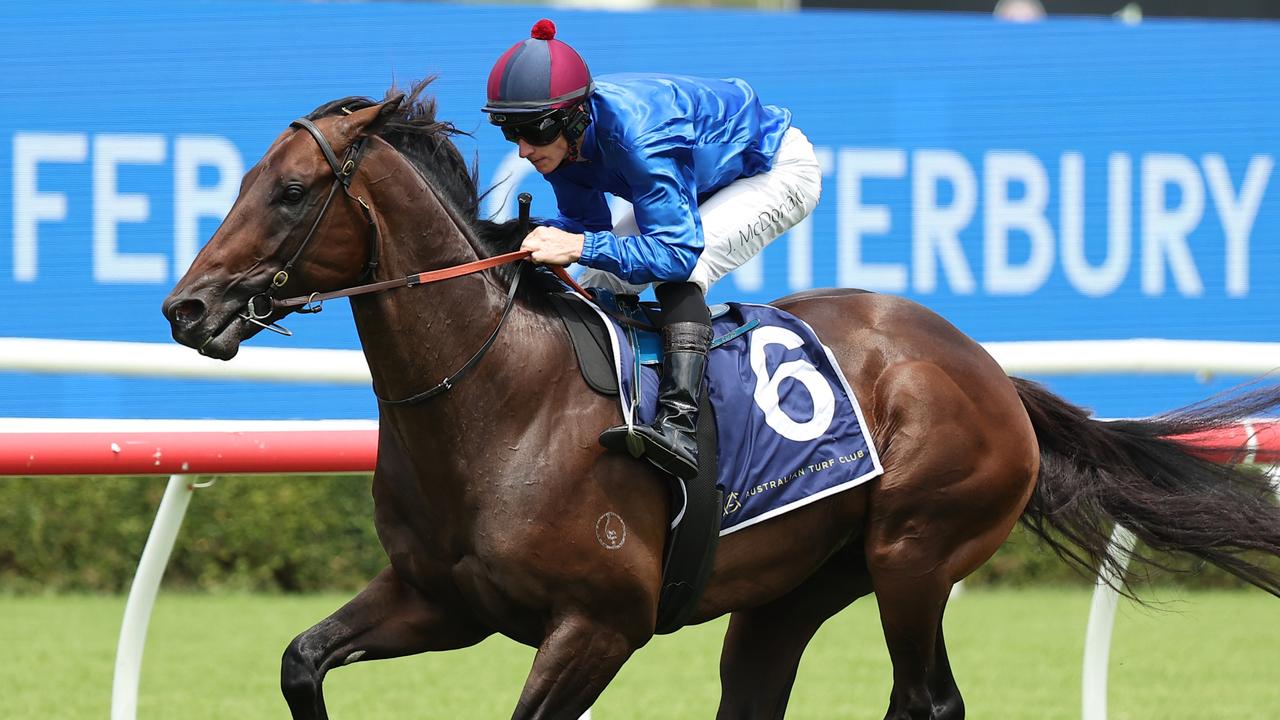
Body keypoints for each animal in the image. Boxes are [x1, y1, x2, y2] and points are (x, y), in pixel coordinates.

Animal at [162, 81, 1280, 712]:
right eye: (241, 181)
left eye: (291, 192)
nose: (187, 307)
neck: (493, 400)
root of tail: (982, 367)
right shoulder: (438, 599)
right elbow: (301, 661)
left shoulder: (597, 624)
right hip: (795, 590)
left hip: (915, 555)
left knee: (927, 701)